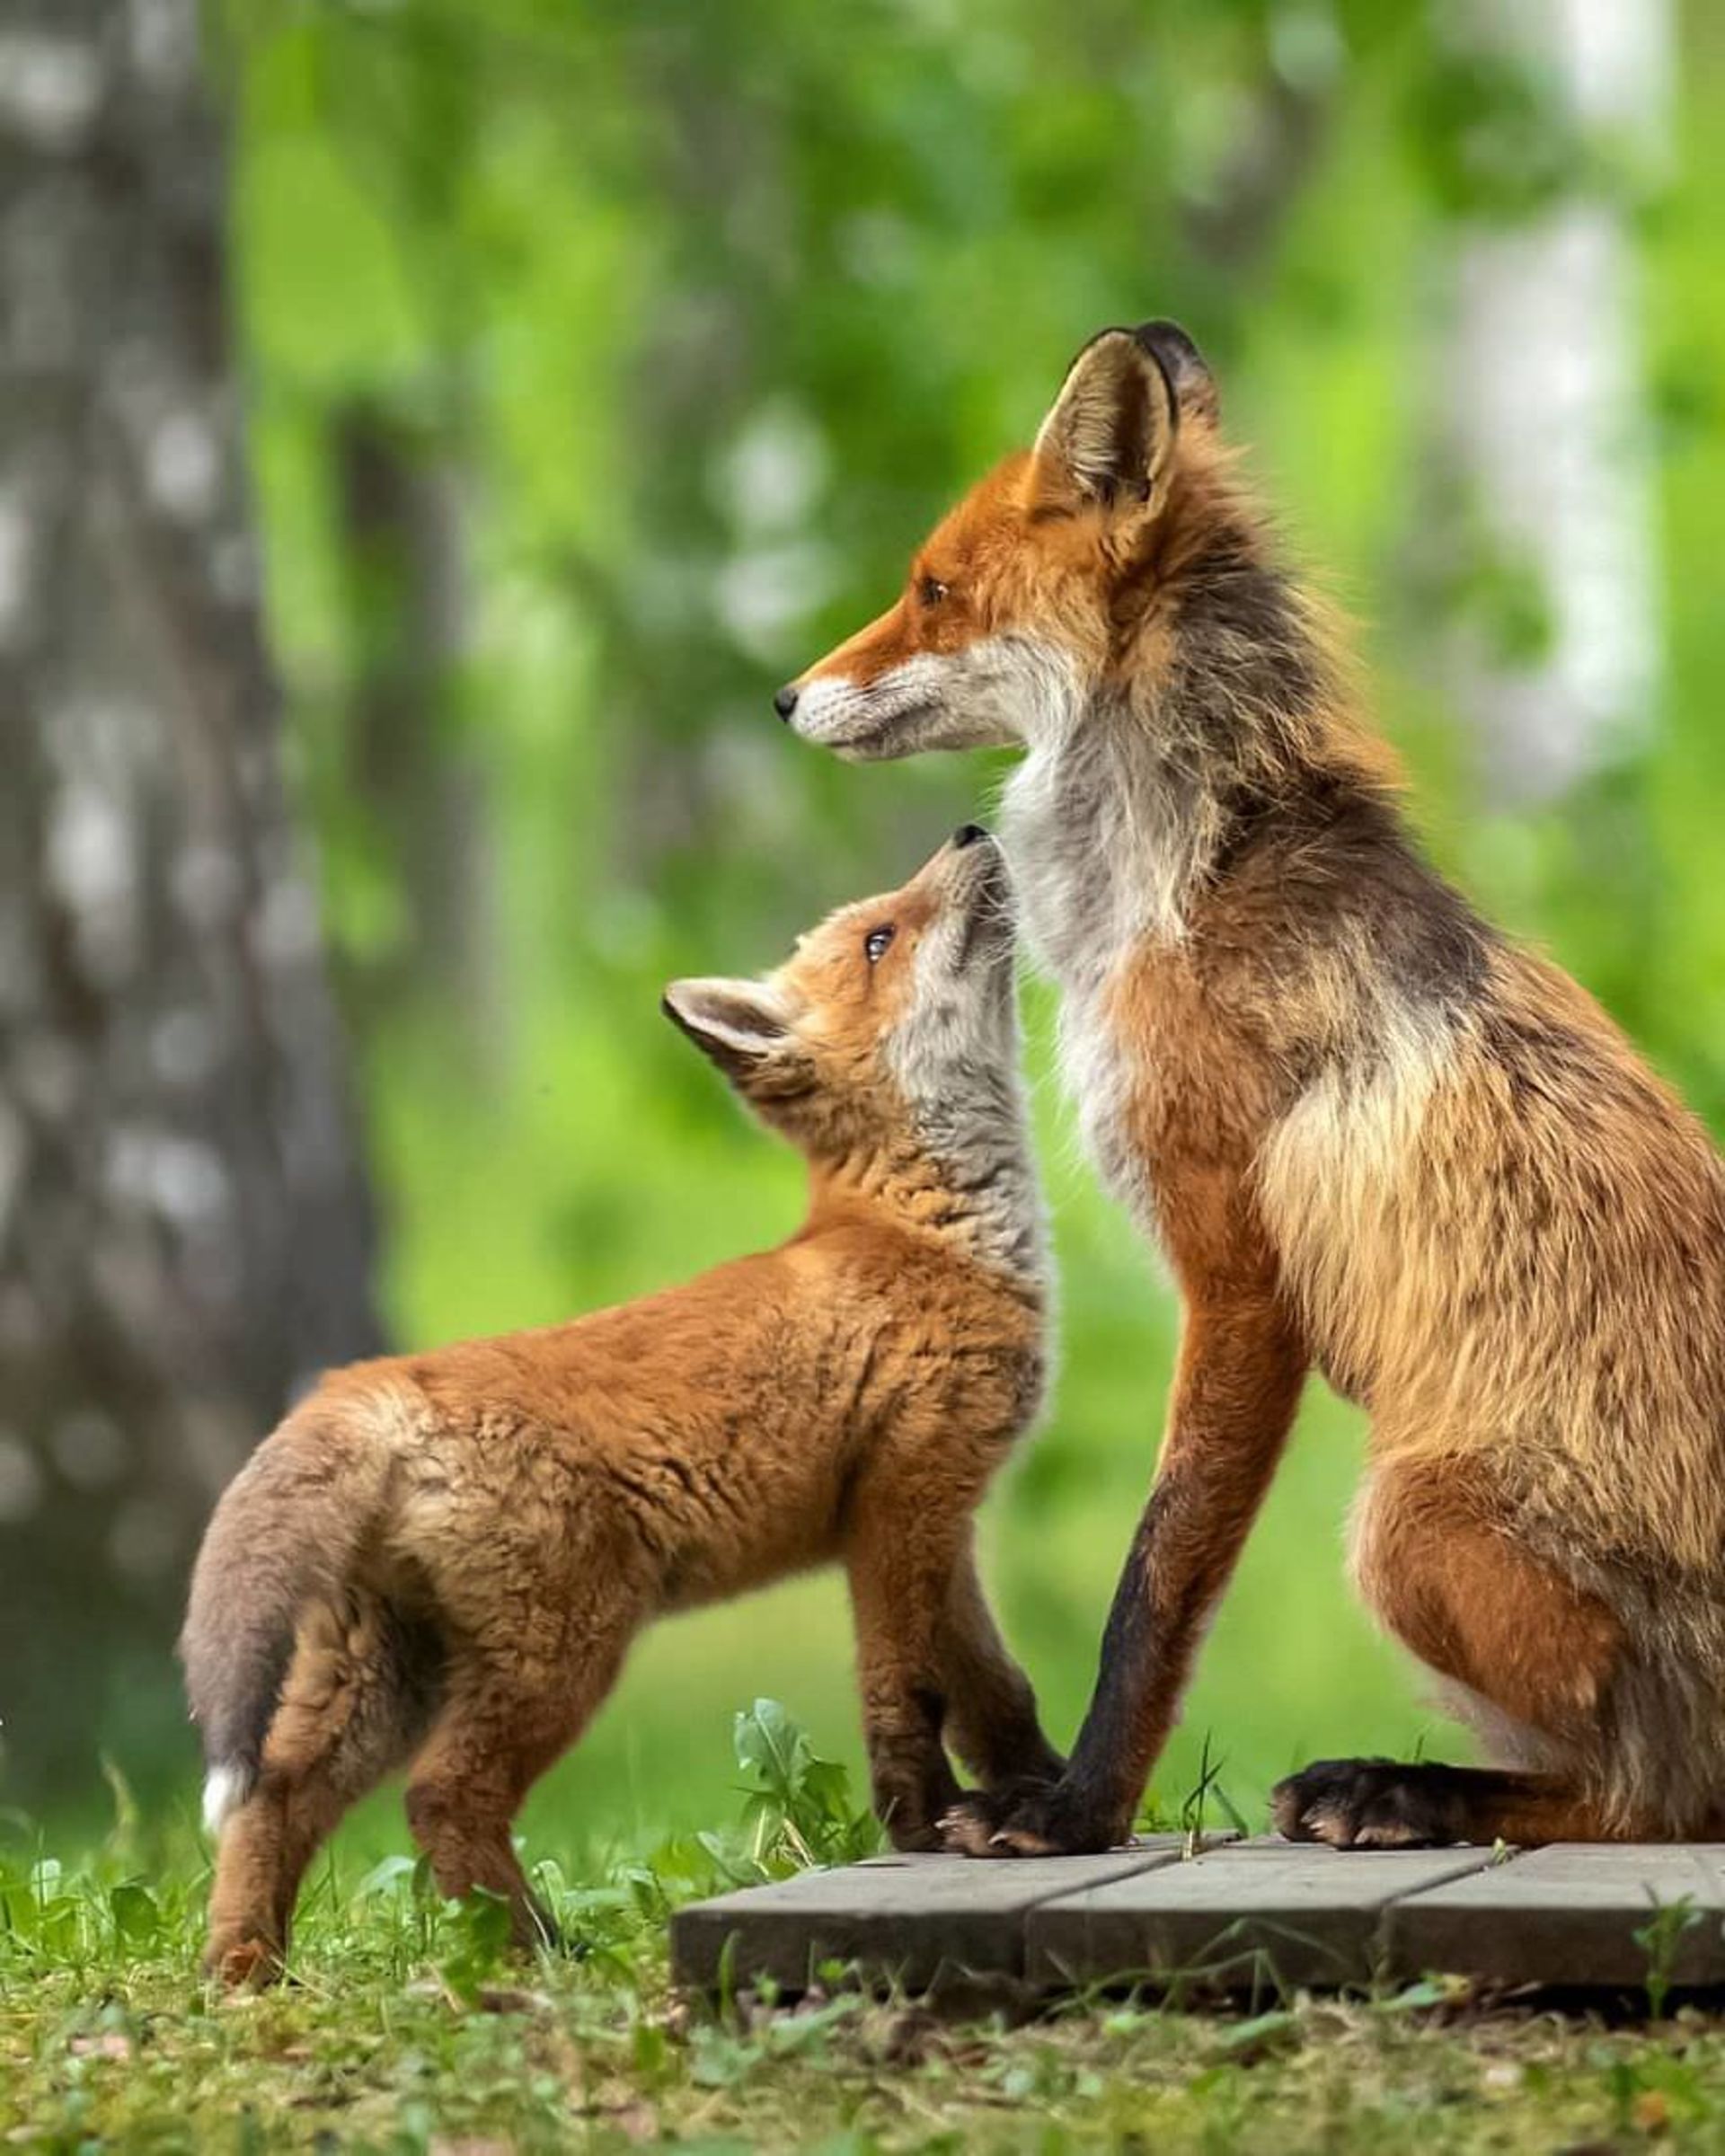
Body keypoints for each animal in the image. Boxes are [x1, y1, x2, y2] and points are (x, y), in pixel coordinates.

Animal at [181, 827, 1057, 1984]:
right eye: (881, 937)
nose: (968, 832)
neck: (927, 1232)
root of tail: (370, 1383)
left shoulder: (934, 1522)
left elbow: (994, 1685)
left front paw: (1039, 1795)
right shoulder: (904, 1498)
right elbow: (902, 1689)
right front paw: (921, 1823)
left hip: (381, 1676)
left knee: (273, 1799)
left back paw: (247, 1972)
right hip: (562, 1652)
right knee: (443, 1795)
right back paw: (542, 1955)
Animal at [776, 314, 1725, 1854]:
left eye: (931, 590)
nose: (783, 694)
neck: (1182, 885)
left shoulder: (1235, 1265)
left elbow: (1152, 1588)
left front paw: (1075, 1811)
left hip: (1402, 1522)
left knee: (1654, 1796)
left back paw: (1404, 1789)